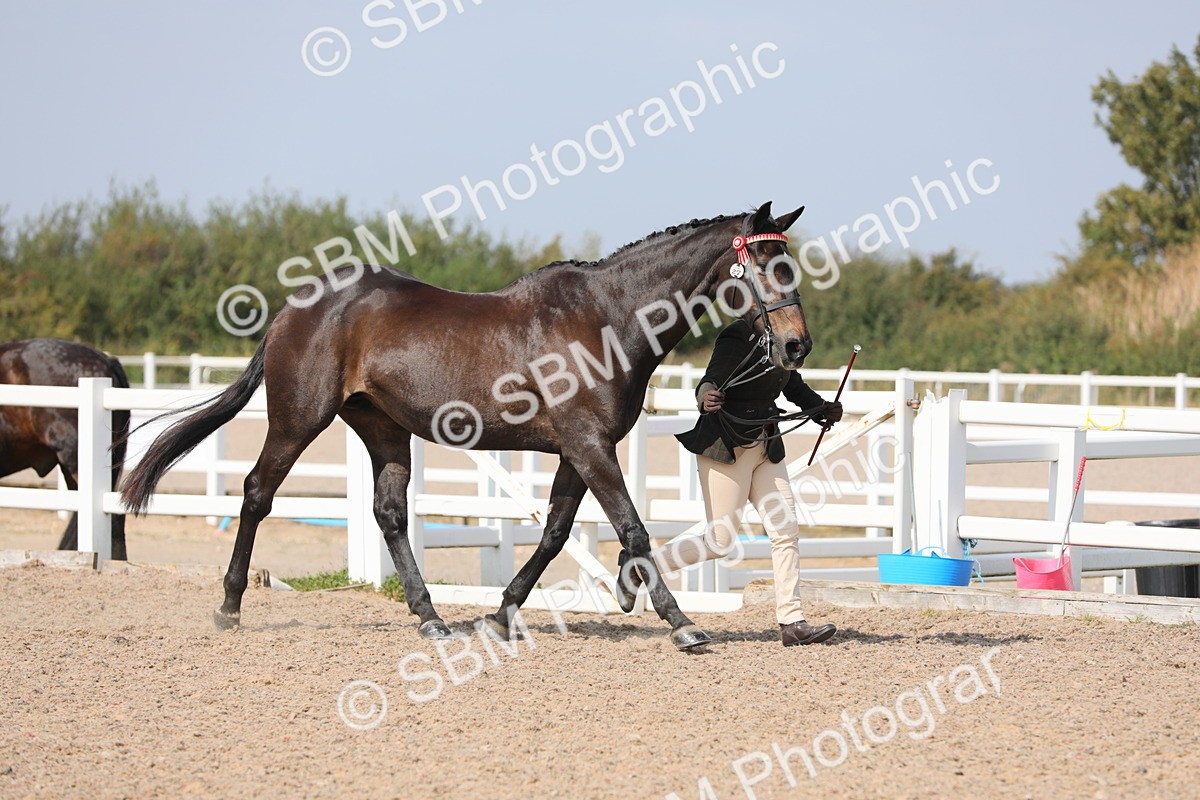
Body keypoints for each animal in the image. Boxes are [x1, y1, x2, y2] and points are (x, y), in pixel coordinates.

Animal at [120, 201, 813, 650]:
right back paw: (229, 606)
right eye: (764, 267)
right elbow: (633, 529)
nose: (797, 346)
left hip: (383, 429)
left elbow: (556, 533)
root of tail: (297, 307)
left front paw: (504, 614)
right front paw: (681, 623)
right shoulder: (590, 446)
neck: (607, 318)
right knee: (257, 493)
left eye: (790, 266)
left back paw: (431, 617)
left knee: (390, 514)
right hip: (298, 418)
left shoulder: (577, 450)